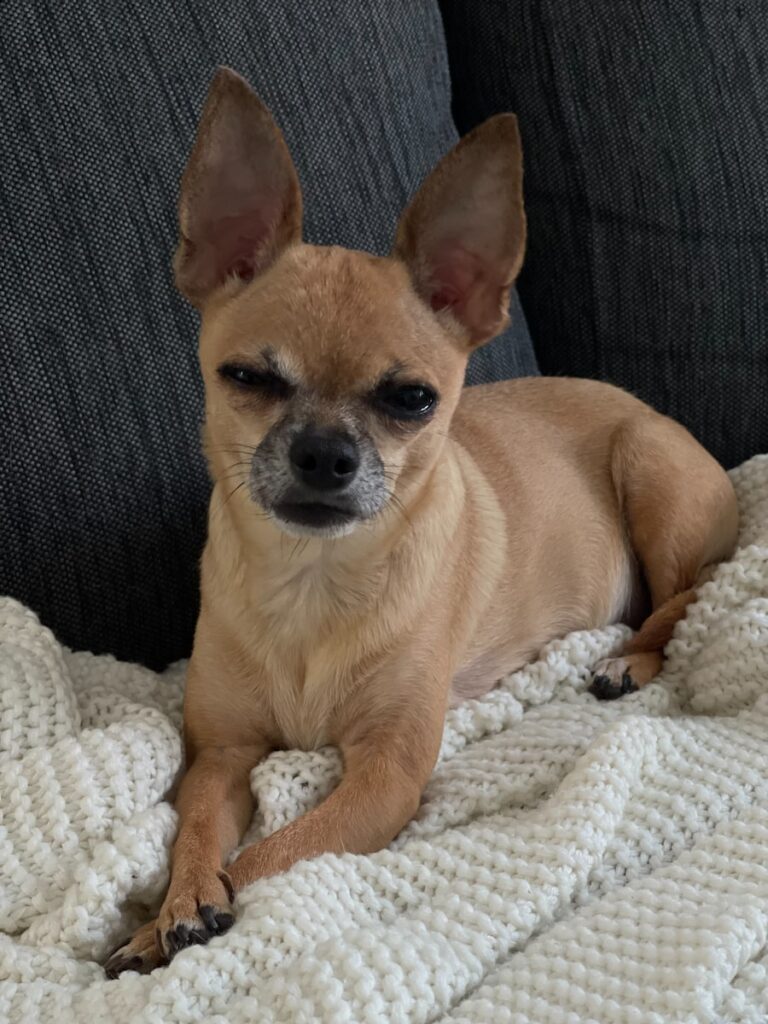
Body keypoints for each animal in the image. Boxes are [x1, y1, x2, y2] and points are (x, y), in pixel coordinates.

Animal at [107, 68, 741, 978]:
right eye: (246, 378)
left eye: (413, 400)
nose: (325, 452)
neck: (312, 578)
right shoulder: (220, 755)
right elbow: (196, 830)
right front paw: (178, 903)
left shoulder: (386, 776)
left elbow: (272, 855)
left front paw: (164, 924)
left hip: (649, 466)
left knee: (688, 594)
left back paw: (627, 659)